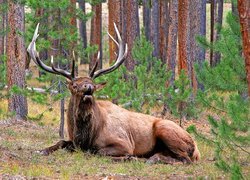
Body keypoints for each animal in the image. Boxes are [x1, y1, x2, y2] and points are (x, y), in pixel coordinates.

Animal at [26, 23, 199, 164]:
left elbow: (96, 152)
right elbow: (61, 142)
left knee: (185, 159)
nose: (89, 87)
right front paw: (41, 150)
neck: (85, 136)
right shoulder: (73, 141)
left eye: (94, 85)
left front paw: (128, 157)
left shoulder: (124, 143)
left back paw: (150, 159)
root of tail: (197, 149)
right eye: (74, 85)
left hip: (166, 129)